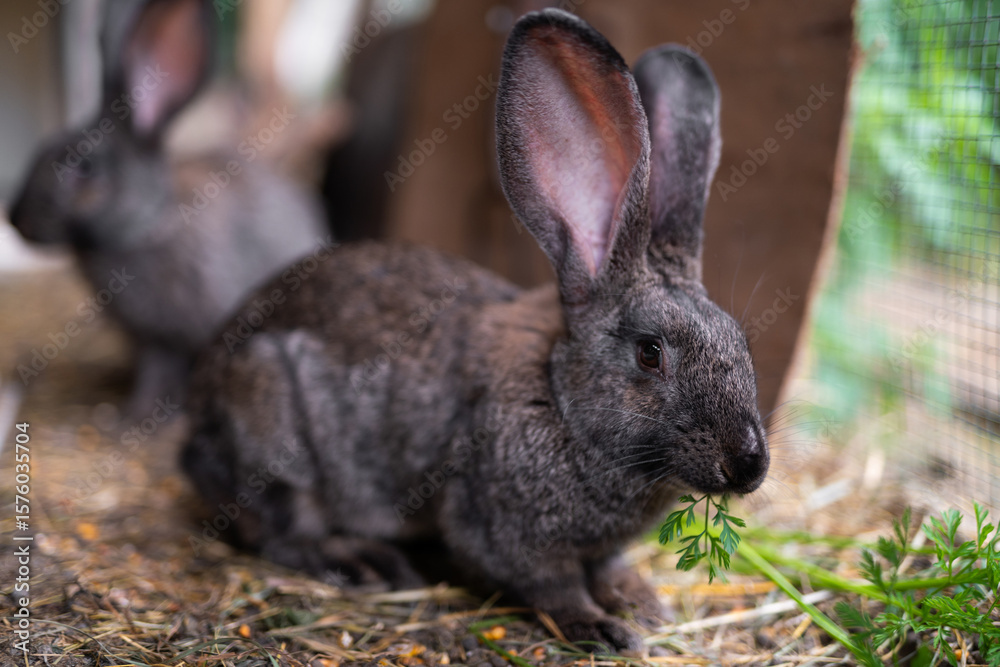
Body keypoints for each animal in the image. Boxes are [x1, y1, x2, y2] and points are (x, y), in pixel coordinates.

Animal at [8, 0, 327, 417]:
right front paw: (135, 412)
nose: (15, 219)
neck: (147, 224)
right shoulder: (151, 340)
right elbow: (154, 371)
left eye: (85, 167)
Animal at [181, 8, 769, 654]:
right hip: (274, 432)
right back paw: (365, 562)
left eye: (741, 342)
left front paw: (642, 605)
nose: (749, 464)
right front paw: (601, 627)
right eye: (649, 353)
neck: (561, 397)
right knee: (279, 529)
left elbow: (608, 567)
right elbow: (551, 584)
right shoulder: (502, 527)